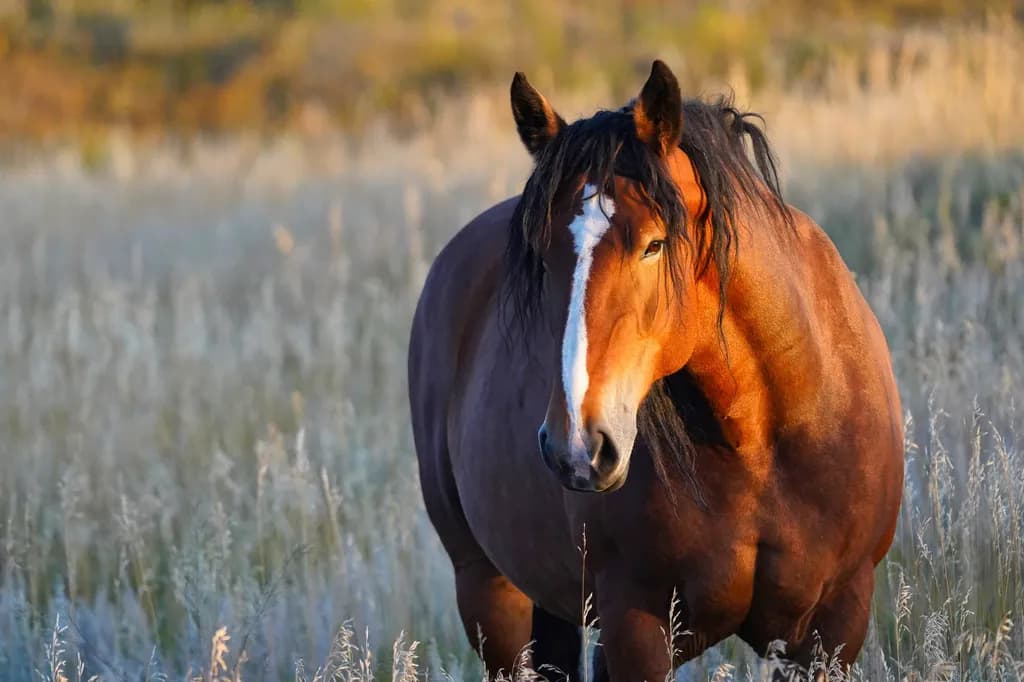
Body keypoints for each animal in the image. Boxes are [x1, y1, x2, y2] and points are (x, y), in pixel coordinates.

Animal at [408, 61, 903, 681]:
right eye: (540, 258)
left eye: (654, 245)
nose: (578, 447)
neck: (766, 439)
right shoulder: (635, 629)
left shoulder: (833, 626)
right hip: (489, 595)